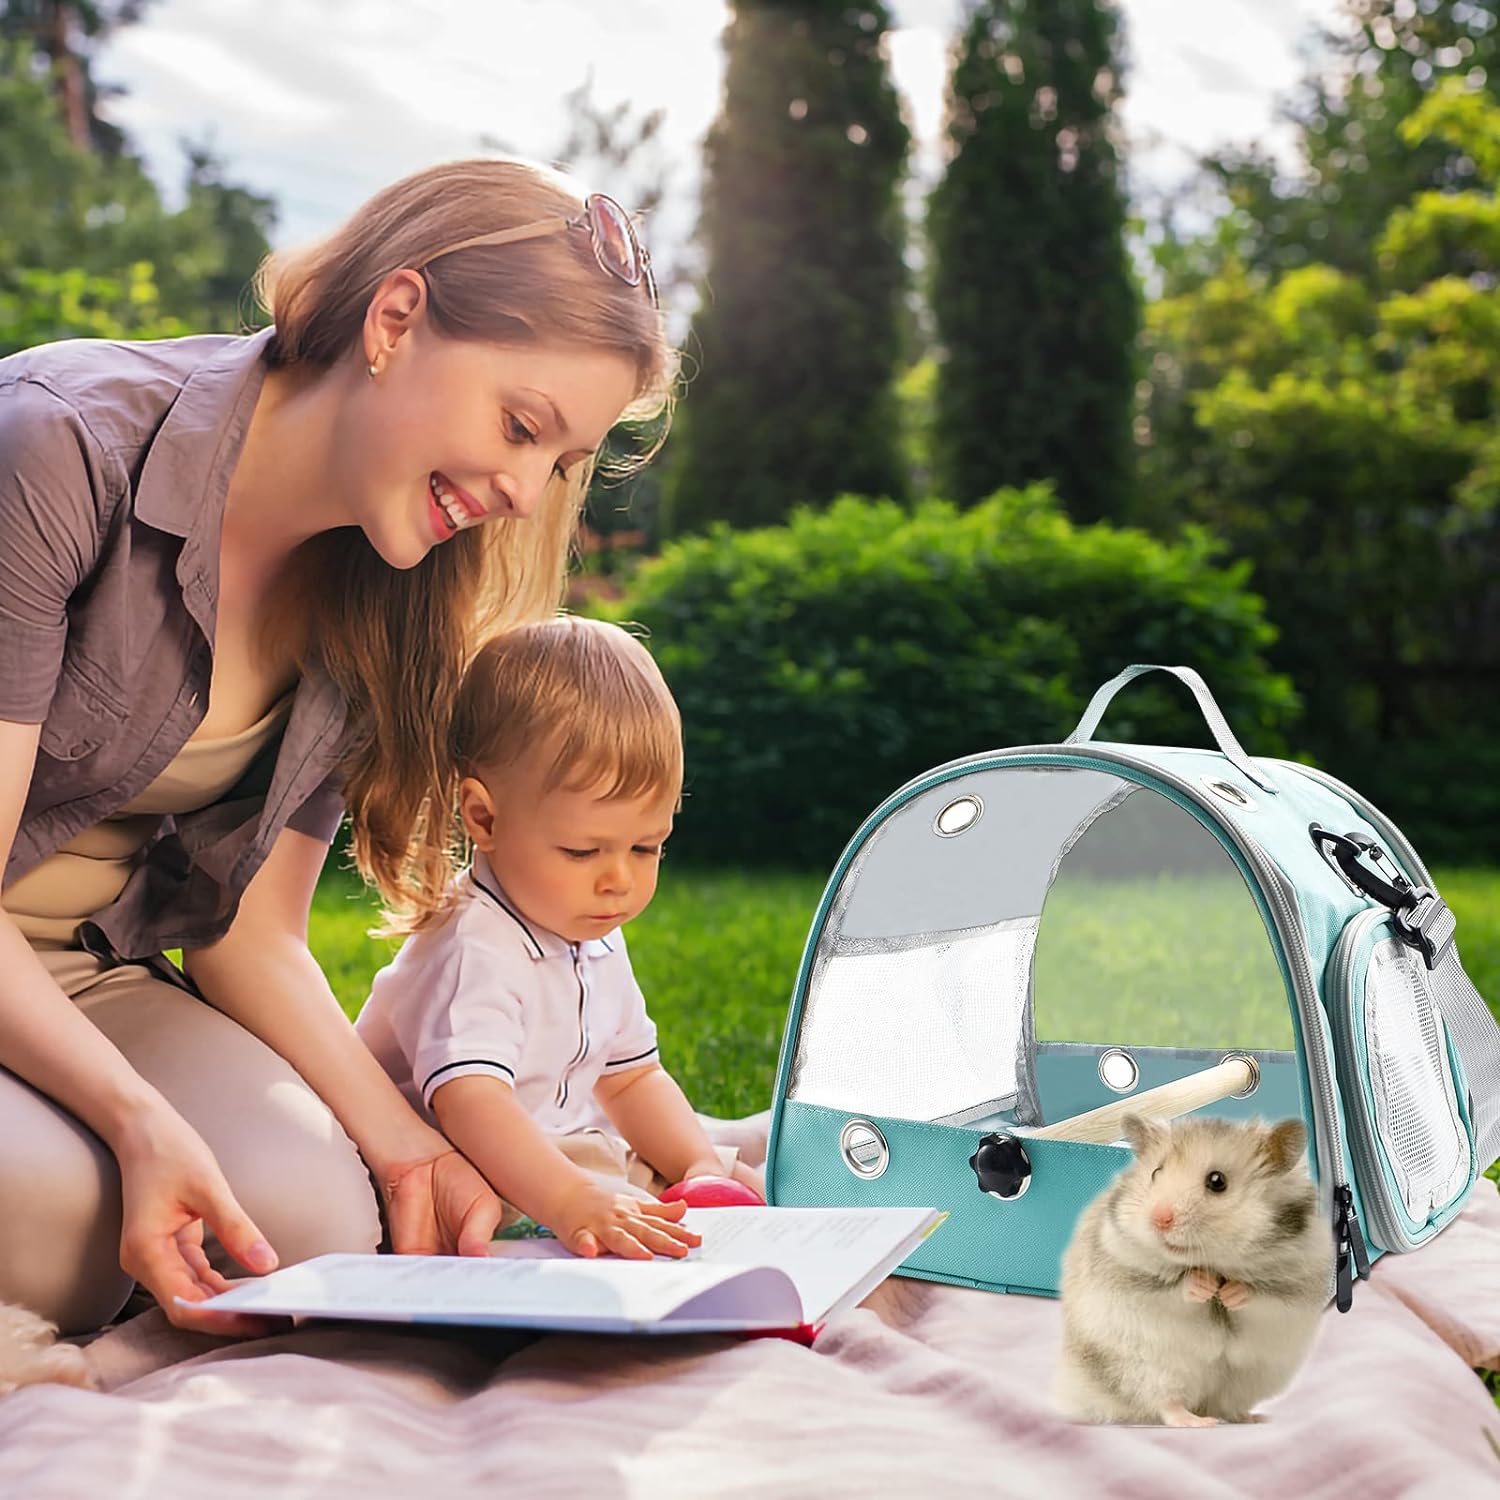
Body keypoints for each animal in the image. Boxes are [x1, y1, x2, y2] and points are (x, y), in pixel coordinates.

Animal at [1056, 1116, 1338, 1428]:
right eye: (1156, 1173)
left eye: (1217, 1181)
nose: (1159, 1220)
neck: (1215, 1262)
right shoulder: (1129, 1275)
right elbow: (1174, 1290)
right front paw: (1204, 1285)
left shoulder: (1294, 1286)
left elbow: (1260, 1295)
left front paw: (1229, 1293)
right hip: (1148, 1370)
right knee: (1167, 1405)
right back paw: (1199, 1422)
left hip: (1250, 1378)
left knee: (1228, 1405)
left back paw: (1252, 1417)